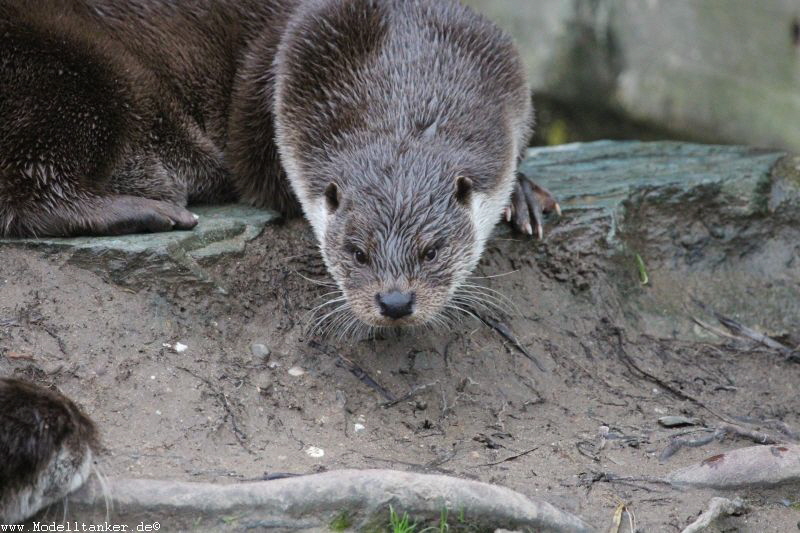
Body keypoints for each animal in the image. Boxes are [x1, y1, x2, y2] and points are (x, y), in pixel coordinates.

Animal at [0, 0, 560, 326]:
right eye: (356, 252)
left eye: (431, 251)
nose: (396, 302)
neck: (407, 52)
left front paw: (521, 194)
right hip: (66, 72)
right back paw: (151, 211)